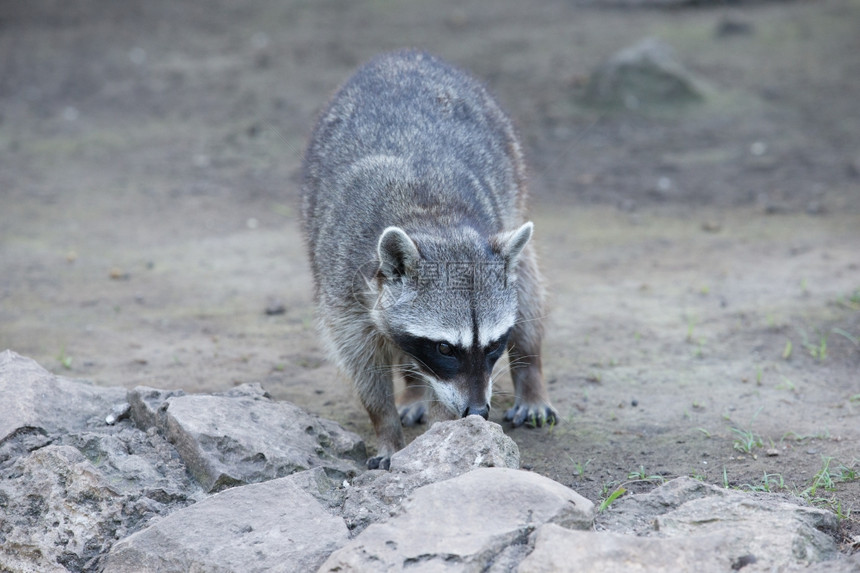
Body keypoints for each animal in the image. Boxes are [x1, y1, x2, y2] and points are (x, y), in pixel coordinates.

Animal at [302, 50, 556, 470]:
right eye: (444, 348)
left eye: (493, 346)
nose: (477, 411)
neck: (431, 218)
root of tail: (401, 55)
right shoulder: (342, 281)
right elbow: (361, 360)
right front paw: (387, 429)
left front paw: (448, 437)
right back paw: (413, 389)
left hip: (511, 174)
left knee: (528, 283)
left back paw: (530, 372)